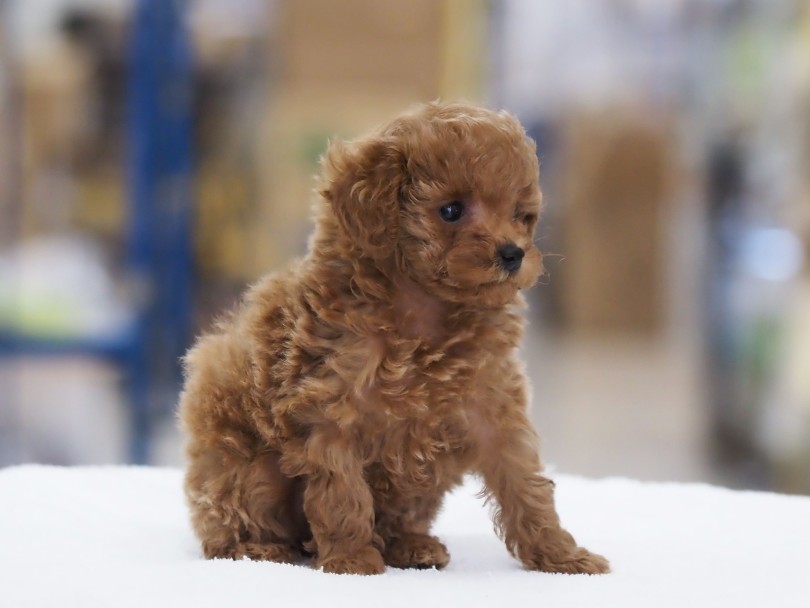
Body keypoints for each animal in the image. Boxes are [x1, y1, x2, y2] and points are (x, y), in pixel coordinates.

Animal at [177, 101, 608, 576]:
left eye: (520, 215)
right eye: (451, 210)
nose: (513, 254)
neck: (425, 315)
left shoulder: (494, 407)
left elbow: (527, 485)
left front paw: (562, 555)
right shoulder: (329, 410)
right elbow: (342, 494)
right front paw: (352, 560)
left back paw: (411, 546)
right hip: (248, 470)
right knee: (228, 526)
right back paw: (259, 549)